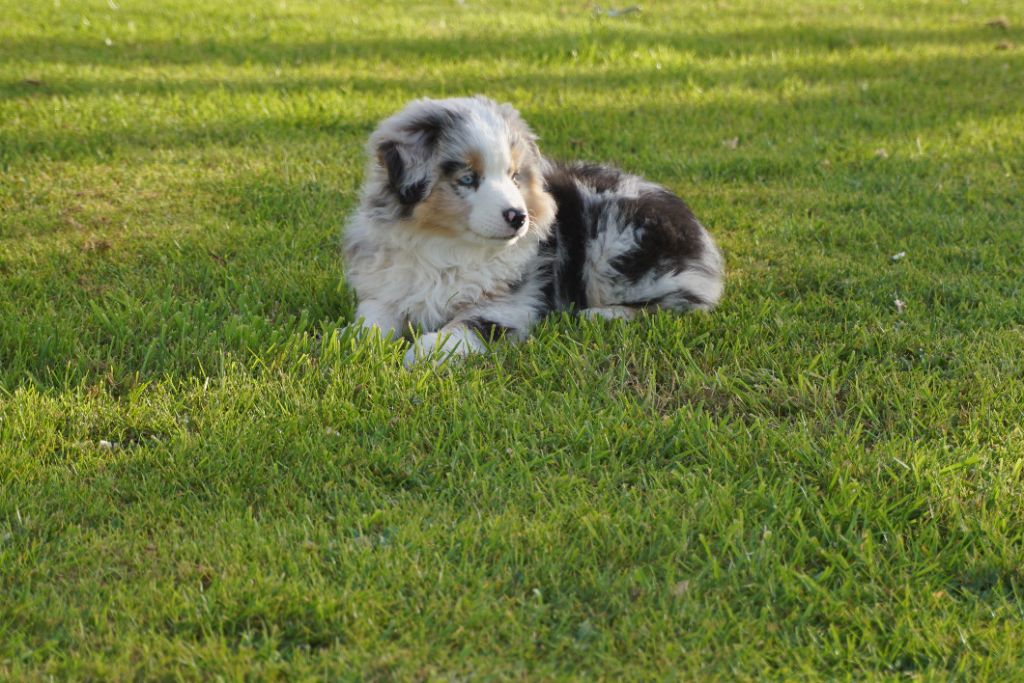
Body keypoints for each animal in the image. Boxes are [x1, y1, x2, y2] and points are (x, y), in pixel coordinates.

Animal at [346, 94, 729, 368]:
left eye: (515, 176)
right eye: (468, 179)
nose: (519, 217)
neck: (449, 246)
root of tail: (700, 235)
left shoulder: (513, 302)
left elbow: (468, 326)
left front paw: (424, 353)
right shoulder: (388, 287)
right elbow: (371, 321)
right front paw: (352, 342)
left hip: (619, 245)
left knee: (679, 303)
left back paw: (600, 314)